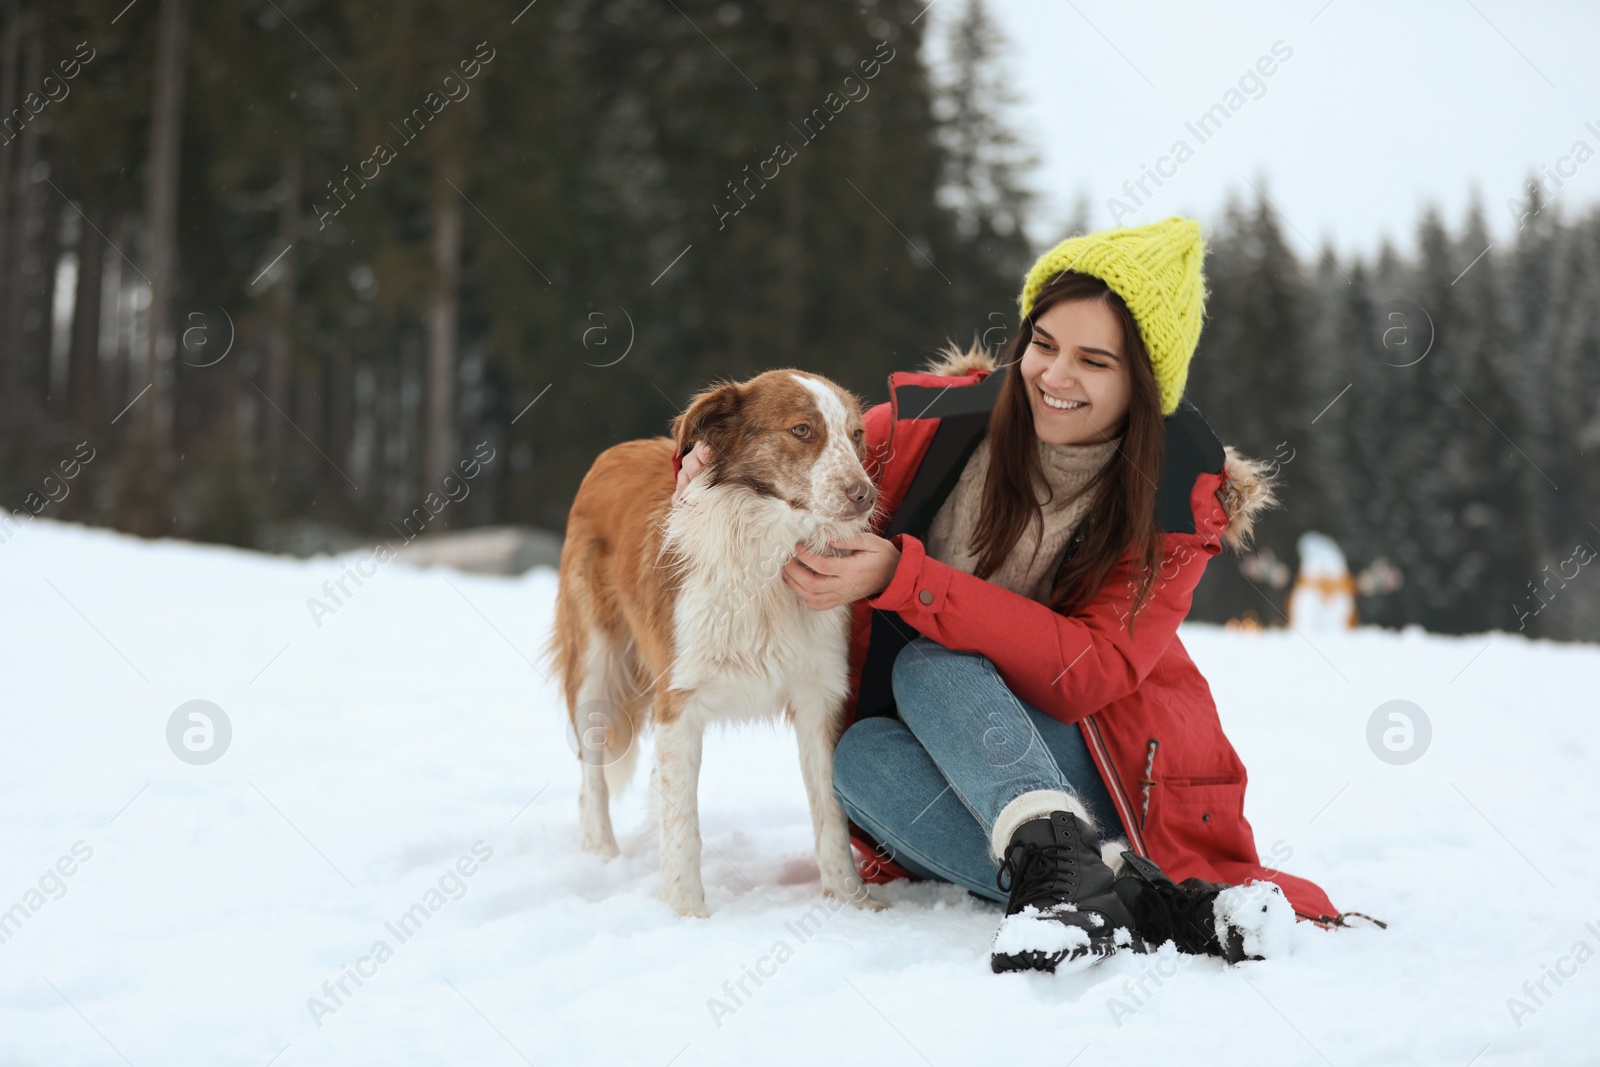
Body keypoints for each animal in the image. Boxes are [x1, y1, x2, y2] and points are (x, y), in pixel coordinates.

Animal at [550, 369, 889, 921]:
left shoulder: (818, 697)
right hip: (596, 668)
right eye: (801, 430)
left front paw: (848, 900)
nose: (865, 495)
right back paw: (602, 855)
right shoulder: (679, 699)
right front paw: (686, 911)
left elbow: (830, 813)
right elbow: (683, 824)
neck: (767, 557)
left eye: (856, 435)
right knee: (592, 776)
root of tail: (616, 450)